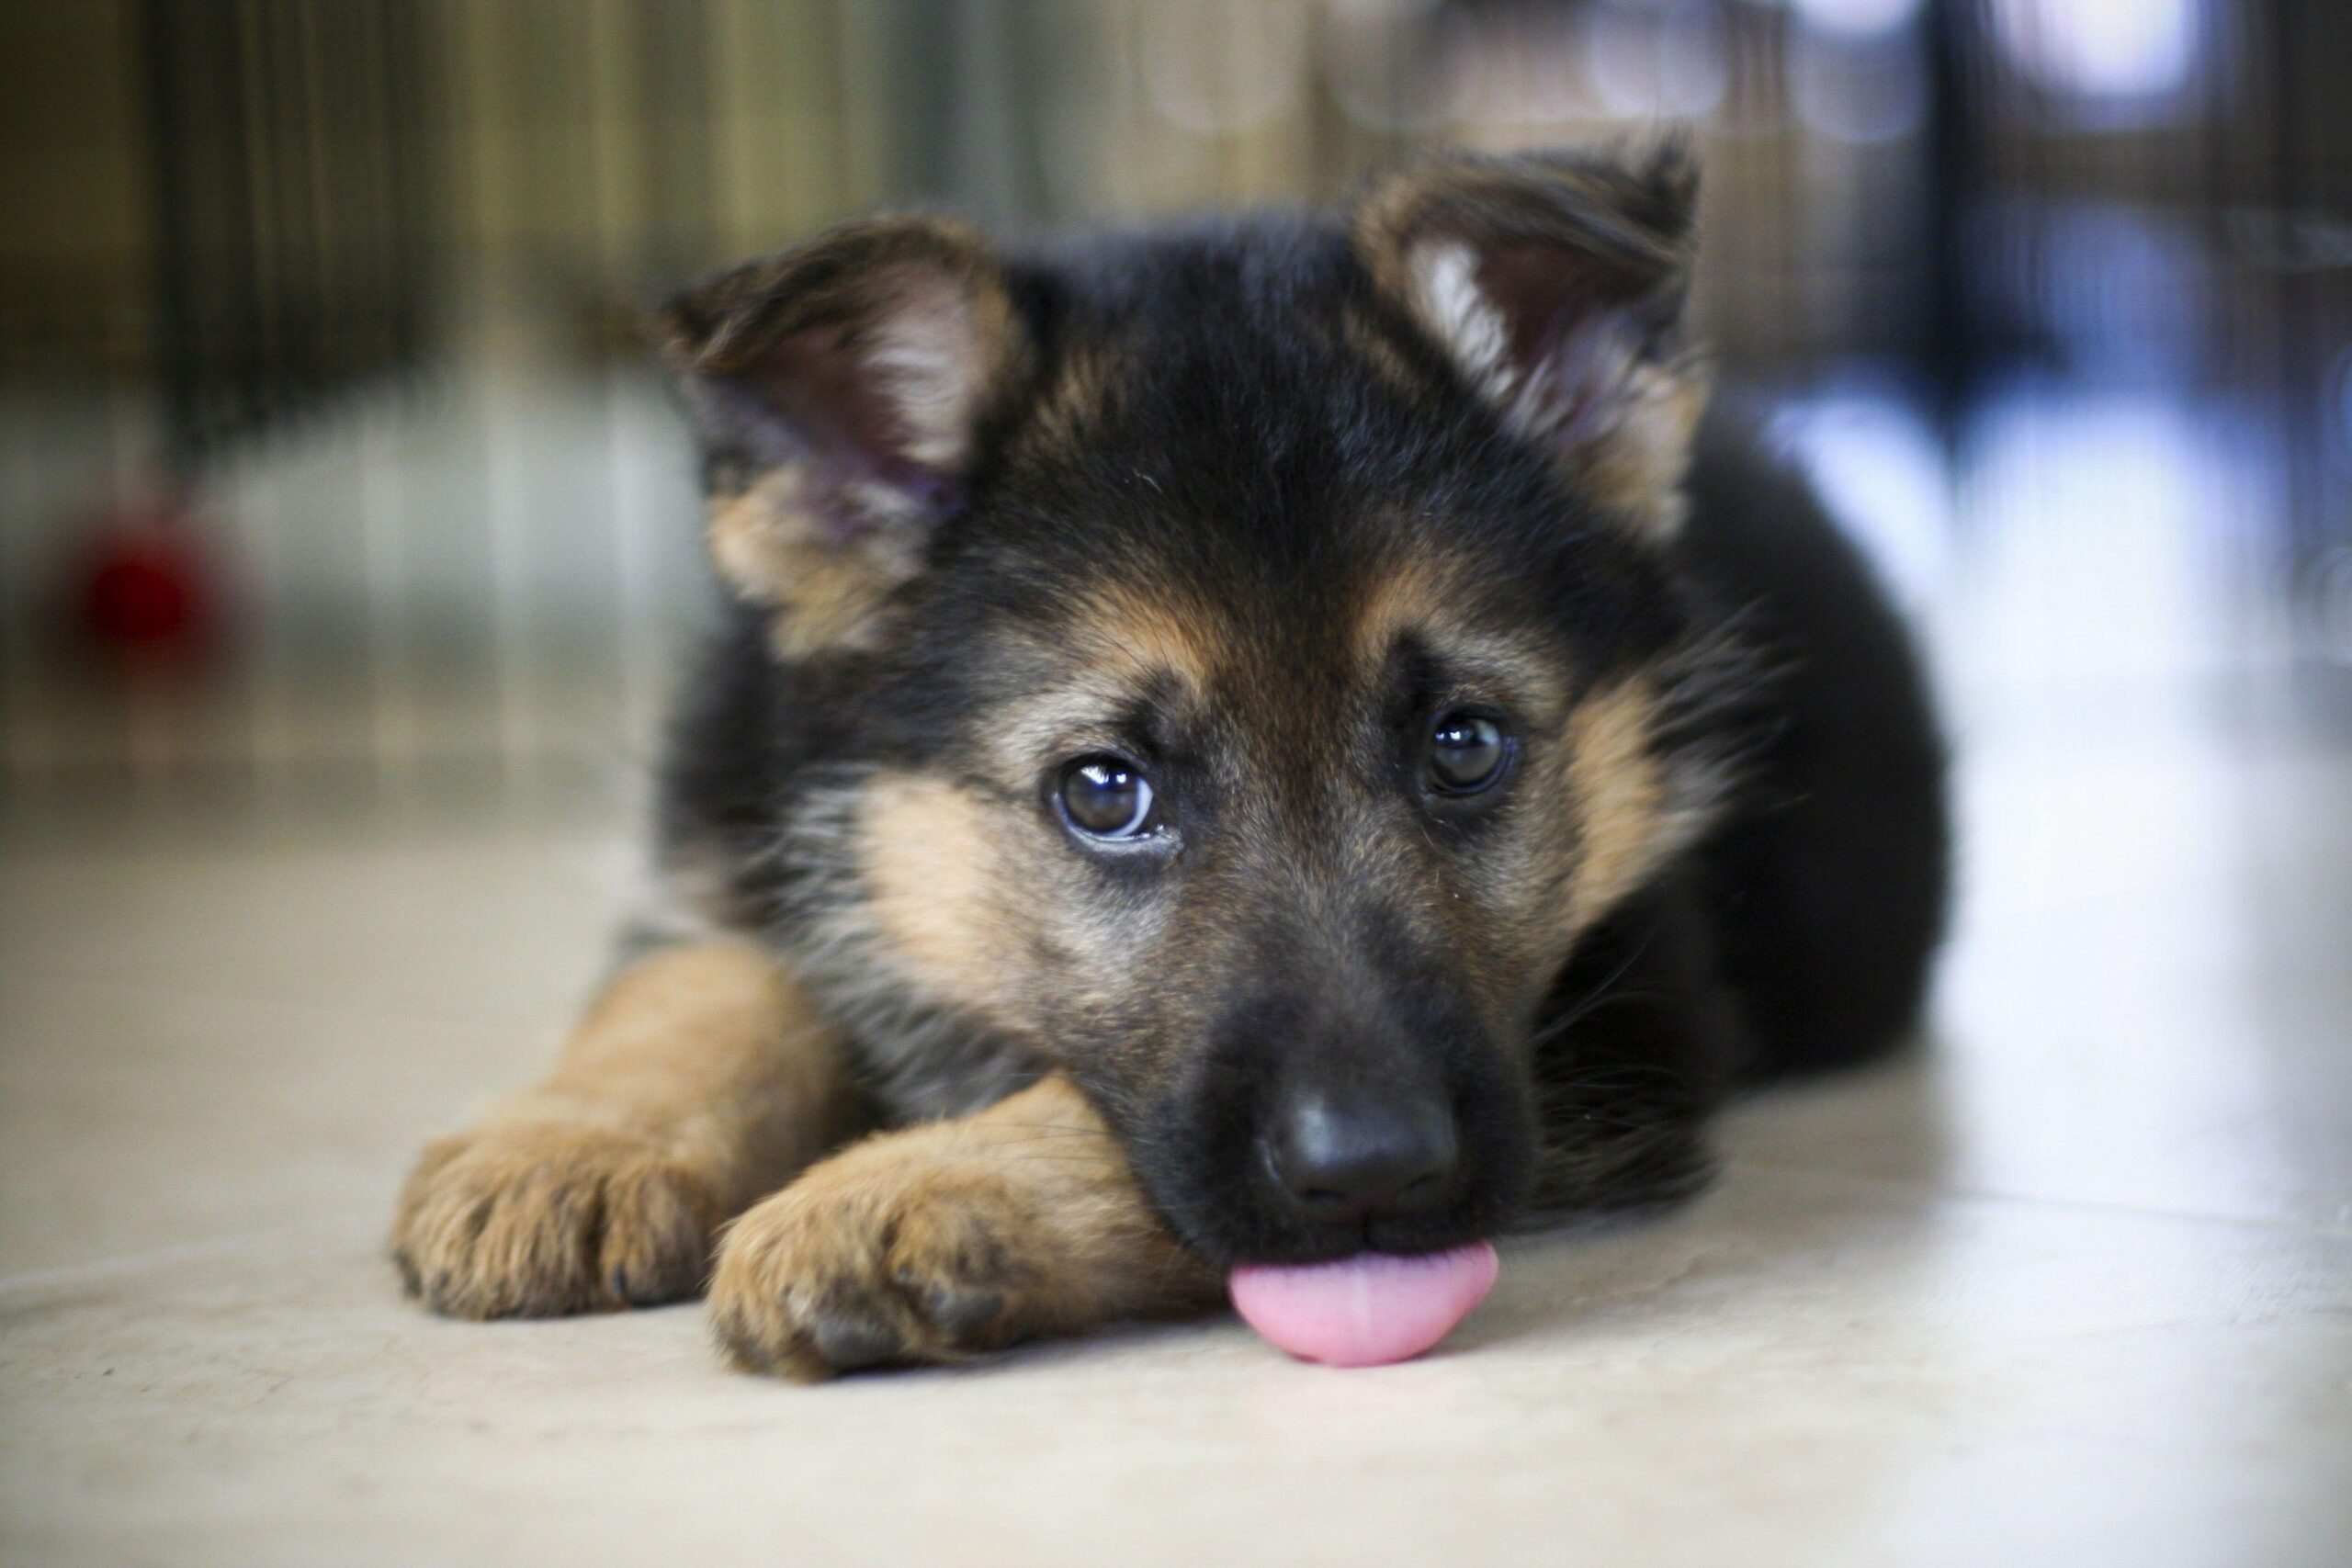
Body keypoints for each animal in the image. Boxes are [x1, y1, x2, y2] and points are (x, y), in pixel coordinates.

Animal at [390, 143, 1947, 1372]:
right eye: (1102, 789)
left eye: (1465, 745)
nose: (1377, 1172)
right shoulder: (730, 818)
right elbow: (699, 983)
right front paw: (574, 1144)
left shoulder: (1624, 1024)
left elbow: (1101, 1124)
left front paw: (906, 1193)